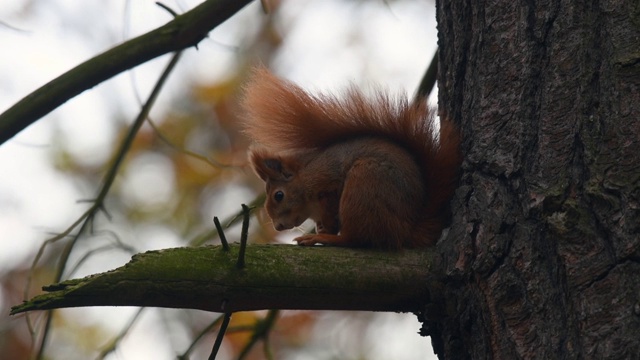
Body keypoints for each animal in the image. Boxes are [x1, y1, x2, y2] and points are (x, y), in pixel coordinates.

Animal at [244, 67, 460, 249]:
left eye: (279, 195)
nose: (278, 227)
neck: (306, 175)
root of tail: (406, 231)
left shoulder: (328, 184)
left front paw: (325, 231)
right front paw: (321, 228)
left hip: (363, 186)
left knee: (358, 238)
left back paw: (323, 238)